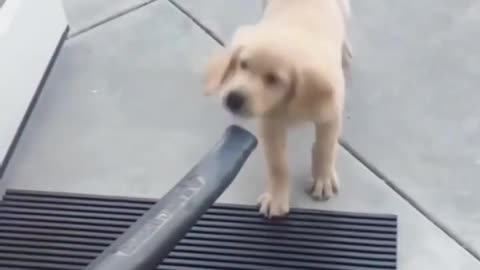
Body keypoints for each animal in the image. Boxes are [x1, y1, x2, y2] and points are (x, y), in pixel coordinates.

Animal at [204, 0, 350, 216]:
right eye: (242, 64)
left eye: (273, 79)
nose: (233, 99)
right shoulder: (270, 124)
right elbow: (277, 164)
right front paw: (277, 197)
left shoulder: (330, 113)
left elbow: (325, 147)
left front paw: (322, 180)